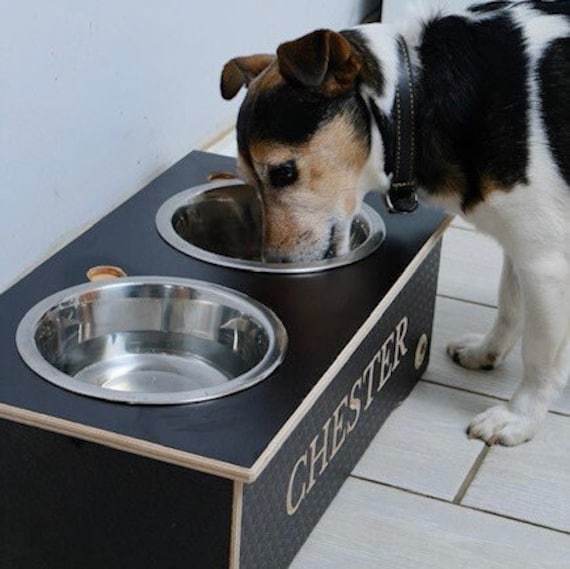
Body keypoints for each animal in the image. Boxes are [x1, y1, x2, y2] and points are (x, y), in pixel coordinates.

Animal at [220, 0, 568, 444]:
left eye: (283, 173)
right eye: (248, 181)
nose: (273, 265)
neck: (416, 96)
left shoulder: (546, 263)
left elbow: (540, 356)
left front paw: (519, 416)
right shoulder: (523, 239)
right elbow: (510, 304)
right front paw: (487, 351)